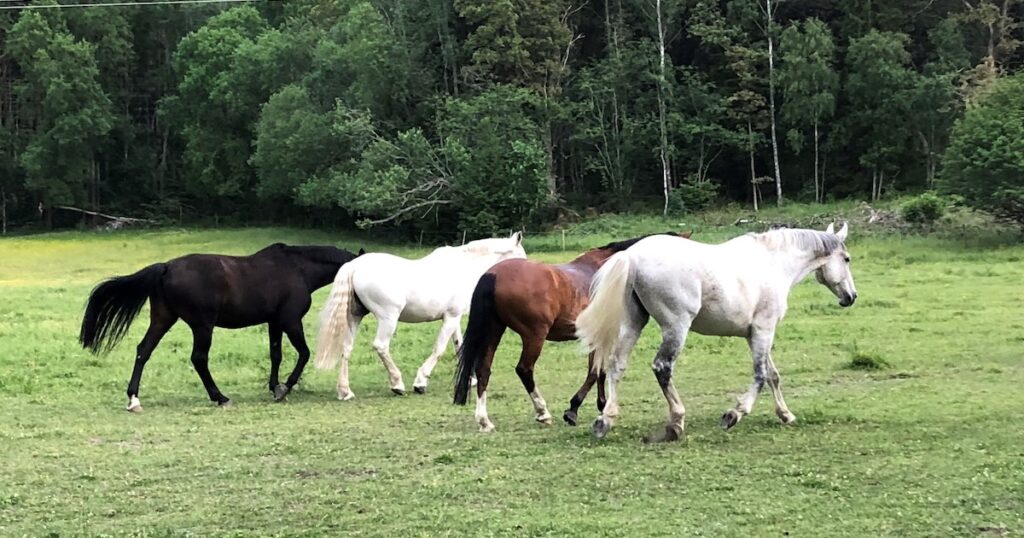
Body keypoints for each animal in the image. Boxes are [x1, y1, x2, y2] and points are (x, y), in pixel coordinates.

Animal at [77, 242, 362, 411]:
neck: (297, 269)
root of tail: (166, 267)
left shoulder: (274, 322)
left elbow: (276, 355)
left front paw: (275, 387)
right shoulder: (291, 321)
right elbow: (303, 353)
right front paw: (285, 387)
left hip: (163, 319)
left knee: (143, 351)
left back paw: (134, 399)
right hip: (203, 326)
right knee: (199, 359)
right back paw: (219, 397)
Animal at [313, 231, 524, 397]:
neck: (464, 268)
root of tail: (354, 266)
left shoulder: (453, 318)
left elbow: (459, 345)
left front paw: (470, 379)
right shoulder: (451, 318)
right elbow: (439, 349)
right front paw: (421, 382)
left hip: (355, 317)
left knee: (346, 348)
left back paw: (345, 391)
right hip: (388, 318)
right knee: (381, 346)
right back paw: (397, 384)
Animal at [450, 231, 688, 432]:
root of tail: (493, 274)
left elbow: (598, 372)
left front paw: (600, 404)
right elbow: (595, 372)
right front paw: (574, 409)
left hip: (494, 331)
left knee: (483, 370)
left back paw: (484, 421)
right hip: (534, 336)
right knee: (524, 369)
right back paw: (542, 412)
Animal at [577, 221, 856, 440]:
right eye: (847, 259)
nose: (851, 297)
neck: (774, 263)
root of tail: (632, 257)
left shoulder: (756, 334)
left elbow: (773, 375)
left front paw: (786, 414)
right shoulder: (764, 330)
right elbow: (760, 376)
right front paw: (734, 414)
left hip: (634, 323)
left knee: (617, 364)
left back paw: (605, 420)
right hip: (676, 327)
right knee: (662, 367)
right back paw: (676, 422)